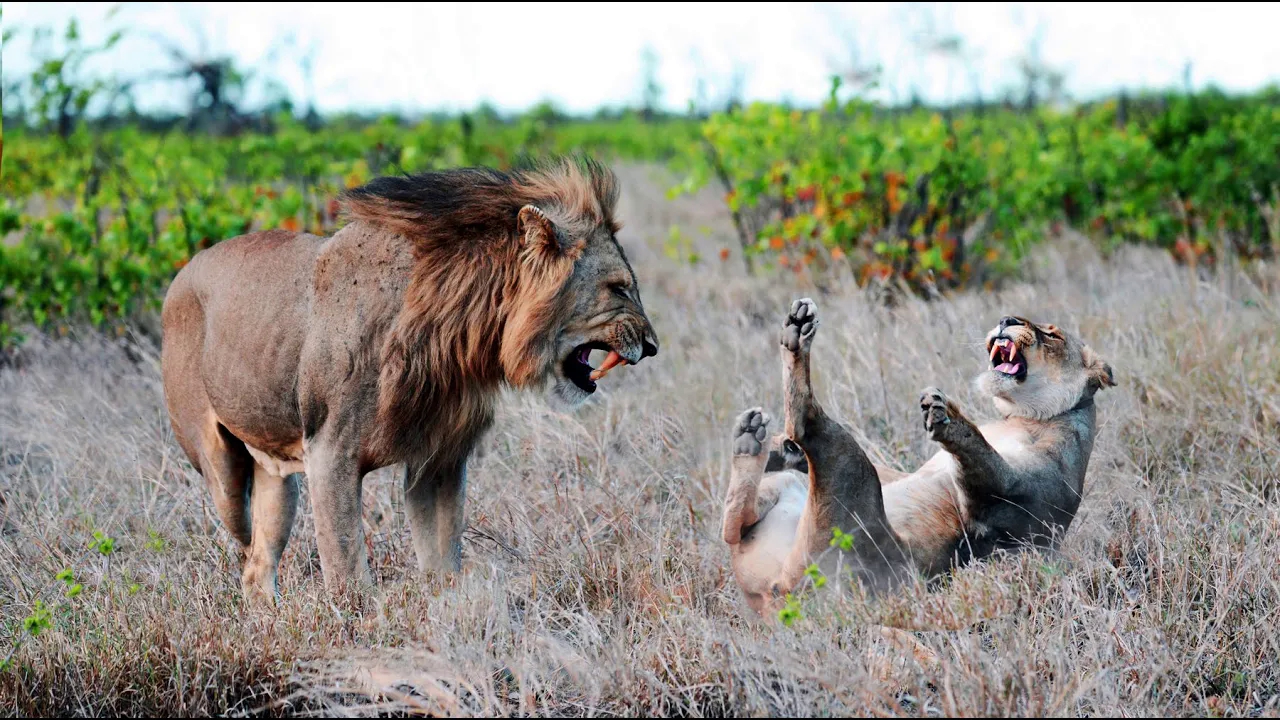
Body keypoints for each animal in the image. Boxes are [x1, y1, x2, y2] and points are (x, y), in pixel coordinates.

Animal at [161, 158, 660, 599]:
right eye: (618, 288)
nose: (653, 345)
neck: (456, 329)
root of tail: (183, 271)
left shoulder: (439, 458)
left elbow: (442, 558)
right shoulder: (329, 452)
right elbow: (347, 569)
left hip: (276, 479)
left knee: (257, 568)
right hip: (222, 474)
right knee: (243, 539)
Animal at [721, 297, 1111, 609]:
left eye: (1053, 335)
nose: (1007, 319)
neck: (1020, 416)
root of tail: (779, 595)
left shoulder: (1022, 506)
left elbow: (985, 460)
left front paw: (946, 414)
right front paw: (788, 452)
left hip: (851, 474)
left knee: (806, 422)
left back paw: (796, 339)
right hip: (788, 493)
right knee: (734, 527)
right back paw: (757, 441)